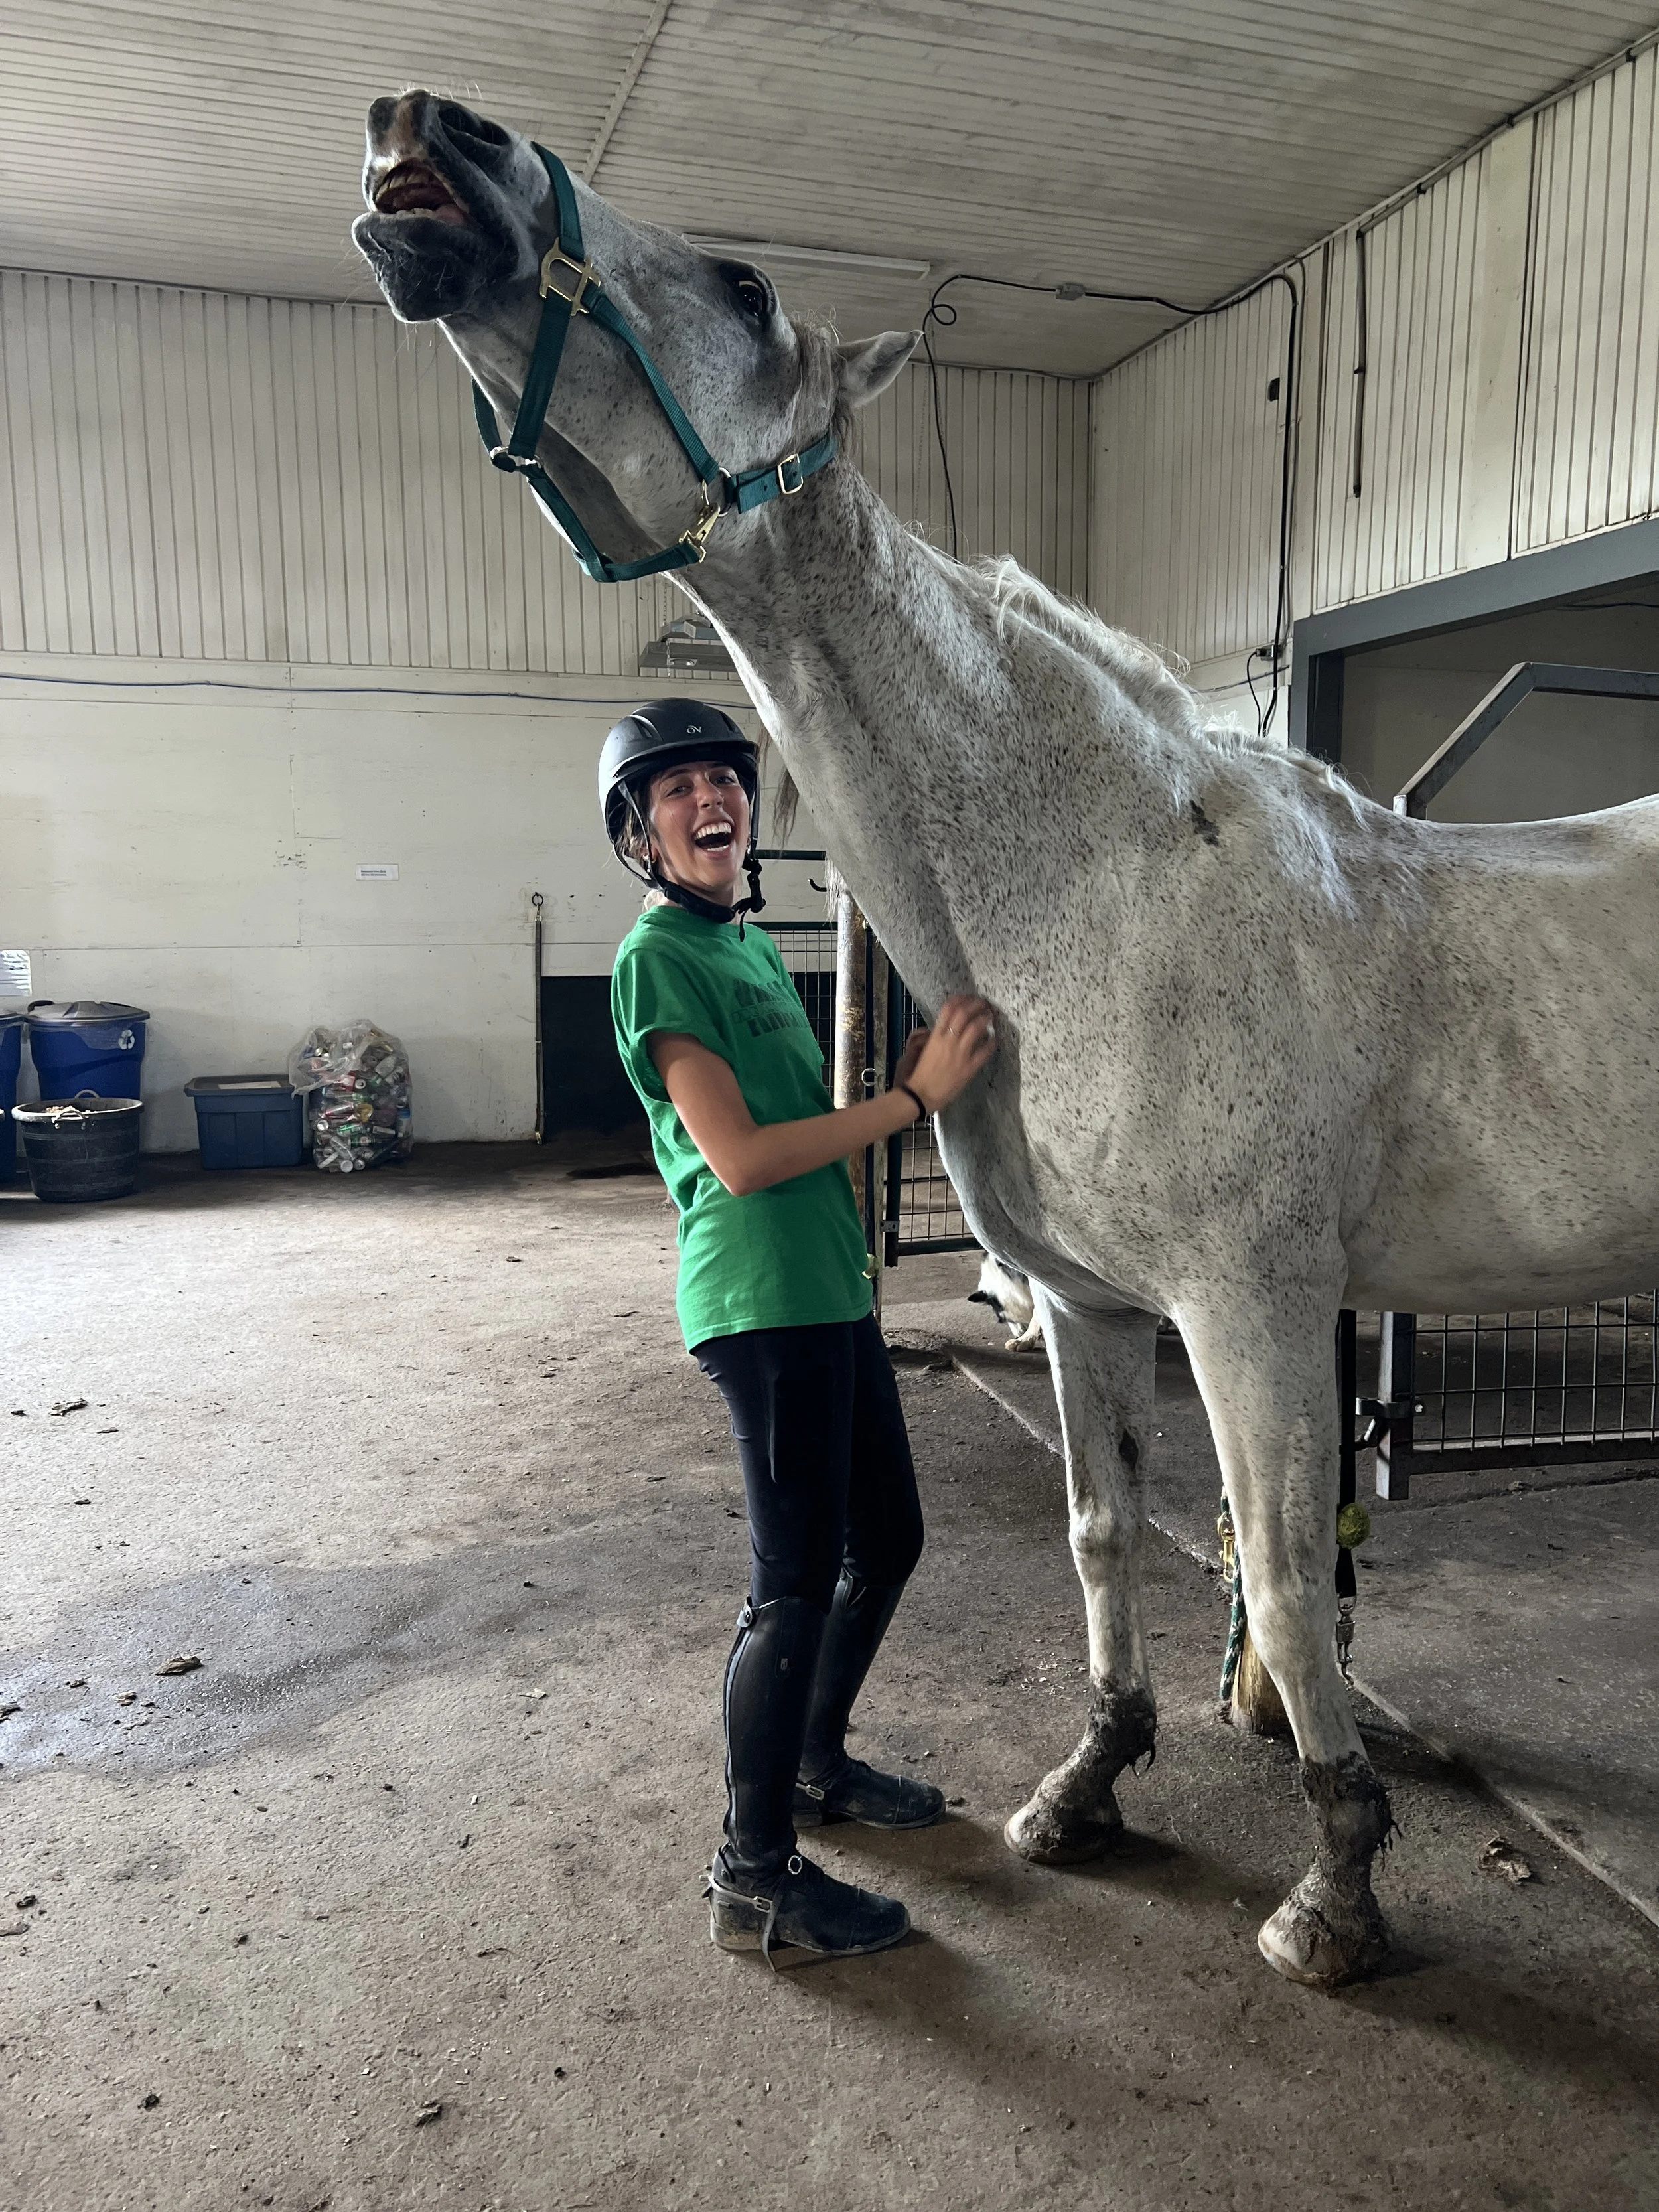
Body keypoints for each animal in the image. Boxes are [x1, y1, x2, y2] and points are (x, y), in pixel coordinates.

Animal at [351, 92, 1659, 1986]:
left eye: (744, 286)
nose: (434, 138)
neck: (1110, 885)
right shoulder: (1092, 1307)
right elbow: (1102, 1536)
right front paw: (1088, 1787)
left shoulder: (1253, 1313)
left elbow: (1280, 1584)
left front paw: (1333, 1893)